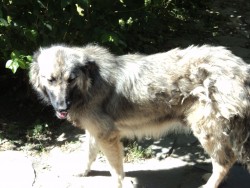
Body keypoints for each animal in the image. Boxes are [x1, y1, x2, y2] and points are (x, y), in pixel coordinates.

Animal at [29, 43, 250, 187]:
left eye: (71, 79)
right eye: (51, 80)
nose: (62, 107)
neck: (90, 83)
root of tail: (241, 67)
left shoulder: (108, 136)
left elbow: (116, 171)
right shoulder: (94, 131)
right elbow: (88, 154)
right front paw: (83, 171)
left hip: (205, 131)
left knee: (225, 161)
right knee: (226, 159)